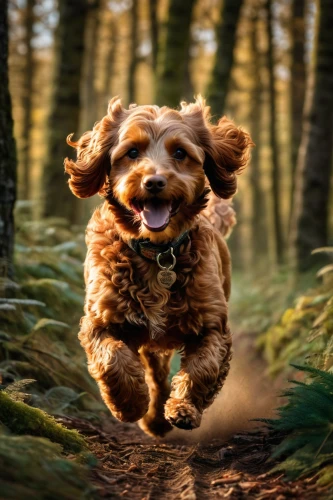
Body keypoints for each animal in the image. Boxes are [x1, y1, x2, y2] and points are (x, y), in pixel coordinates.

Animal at [64, 95, 252, 436]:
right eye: (132, 152)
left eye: (180, 153)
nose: (153, 182)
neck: (159, 251)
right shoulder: (99, 319)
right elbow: (112, 357)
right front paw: (130, 404)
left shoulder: (212, 326)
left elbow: (204, 367)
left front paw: (183, 409)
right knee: (155, 373)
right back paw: (152, 416)